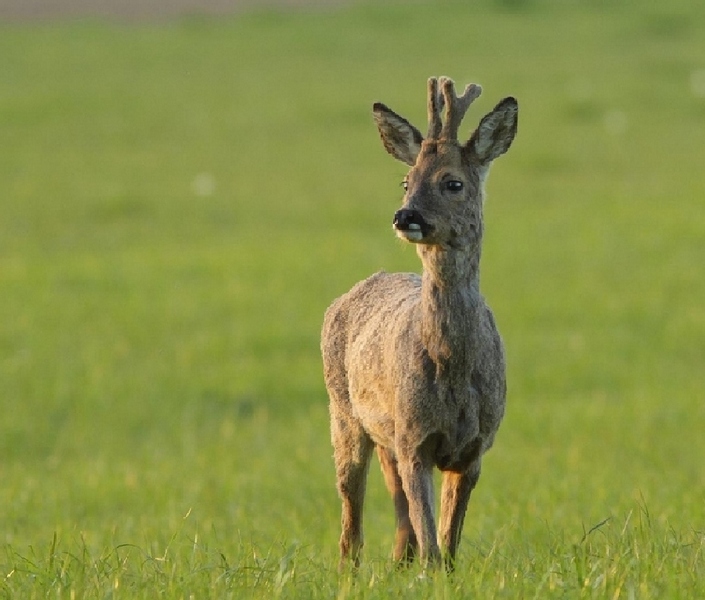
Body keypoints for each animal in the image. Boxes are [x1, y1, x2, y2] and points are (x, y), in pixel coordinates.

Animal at [320, 75, 516, 568]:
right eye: (406, 180)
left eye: (453, 182)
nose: (405, 214)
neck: (453, 369)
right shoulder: (414, 439)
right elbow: (432, 547)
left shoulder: (475, 446)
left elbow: (447, 544)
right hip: (344, 413)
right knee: (351, 525)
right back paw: (350, 571)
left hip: (385, 437)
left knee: (400, 527)